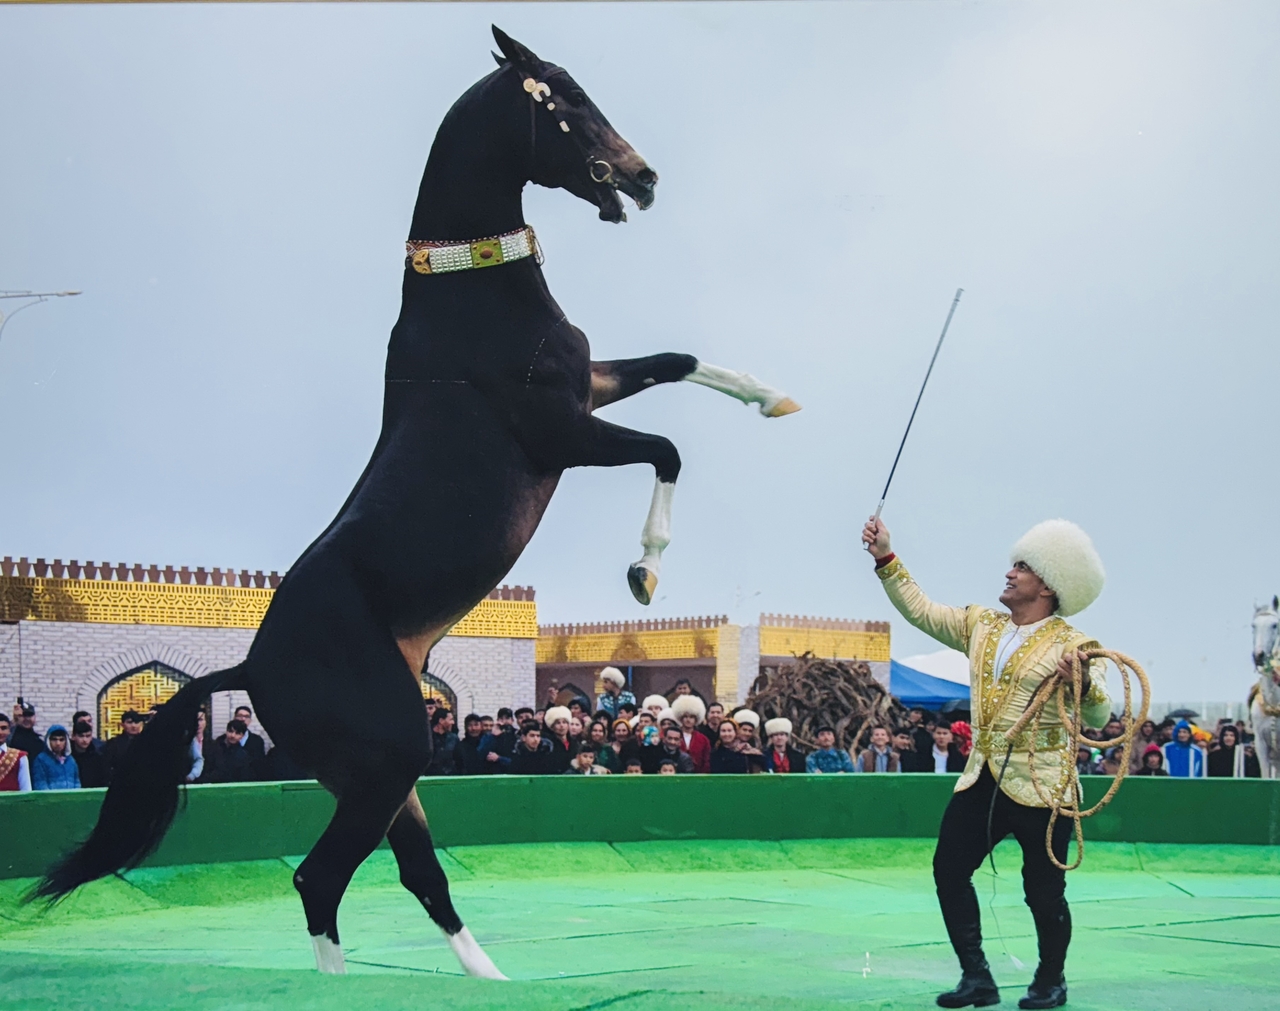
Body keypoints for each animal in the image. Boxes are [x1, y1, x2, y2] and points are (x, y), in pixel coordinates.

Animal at [30, 27, 801, 978]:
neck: (471, 298)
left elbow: (676, 360)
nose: (643, 177)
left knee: (408, 874)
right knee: (321, 876)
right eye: (565, 97)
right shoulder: (560, 435)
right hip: (395, 753)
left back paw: (490, 980)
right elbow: (668, 448)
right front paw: (645, 571)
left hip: (381, 771)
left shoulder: (589, 387)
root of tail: (247, 668)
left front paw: (772, 397)